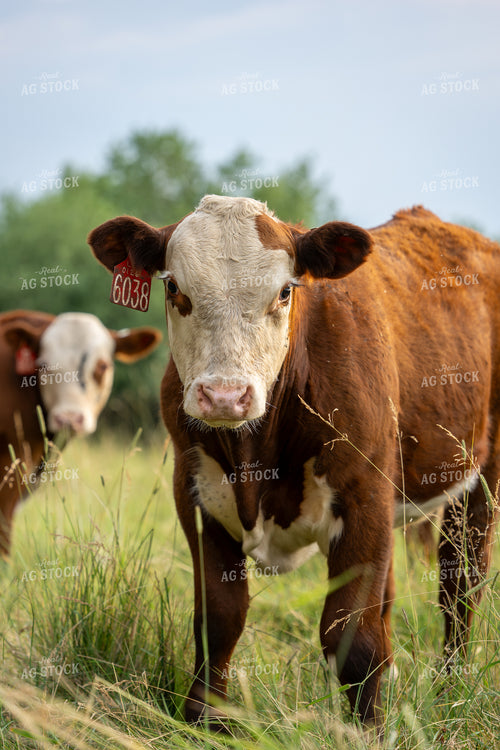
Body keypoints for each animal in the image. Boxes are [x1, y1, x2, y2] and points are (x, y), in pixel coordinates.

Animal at [89, 195, 498, 727]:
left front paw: (368, 730)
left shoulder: (364, 496)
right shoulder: (194, 495)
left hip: (480, 478)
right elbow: (219, 619)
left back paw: (452, 694)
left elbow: (353, 638)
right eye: (174, 287)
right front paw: (205, 722)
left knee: (460, 588)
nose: (225, 396)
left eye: (285, 291)